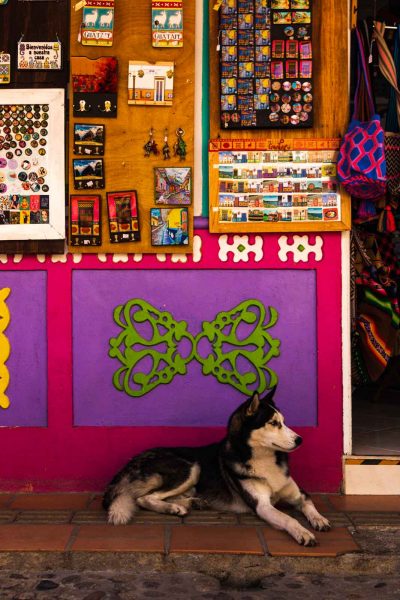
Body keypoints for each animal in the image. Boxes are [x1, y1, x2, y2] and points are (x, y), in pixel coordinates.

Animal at [103, 386, 332, 548]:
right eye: (274, 423)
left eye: (283, 422)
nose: (300, 439)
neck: (264, 459)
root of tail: (132, 460)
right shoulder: (263, 506)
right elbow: (287, 519)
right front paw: (303, 532)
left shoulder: (299, 494)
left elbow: (309, 504)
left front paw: (319, 519)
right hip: (191, 467)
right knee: (144, 498)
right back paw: (174, 507)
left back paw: (190, 503)